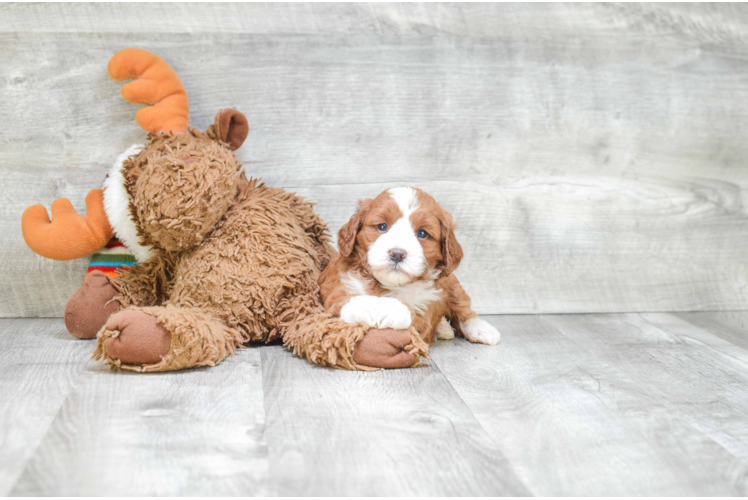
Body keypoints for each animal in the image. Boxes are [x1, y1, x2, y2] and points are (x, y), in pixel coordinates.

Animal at [318, 187, 500, 348]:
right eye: (382, 226)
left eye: (422, 234)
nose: (397, 253)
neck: (390, 285)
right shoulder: (337, 286)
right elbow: (345, 299)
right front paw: (372, 306)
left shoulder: (428, 306)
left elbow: (412, 311)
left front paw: (390, 308)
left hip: (452, 283)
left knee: (462, 307)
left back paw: (481, 329)